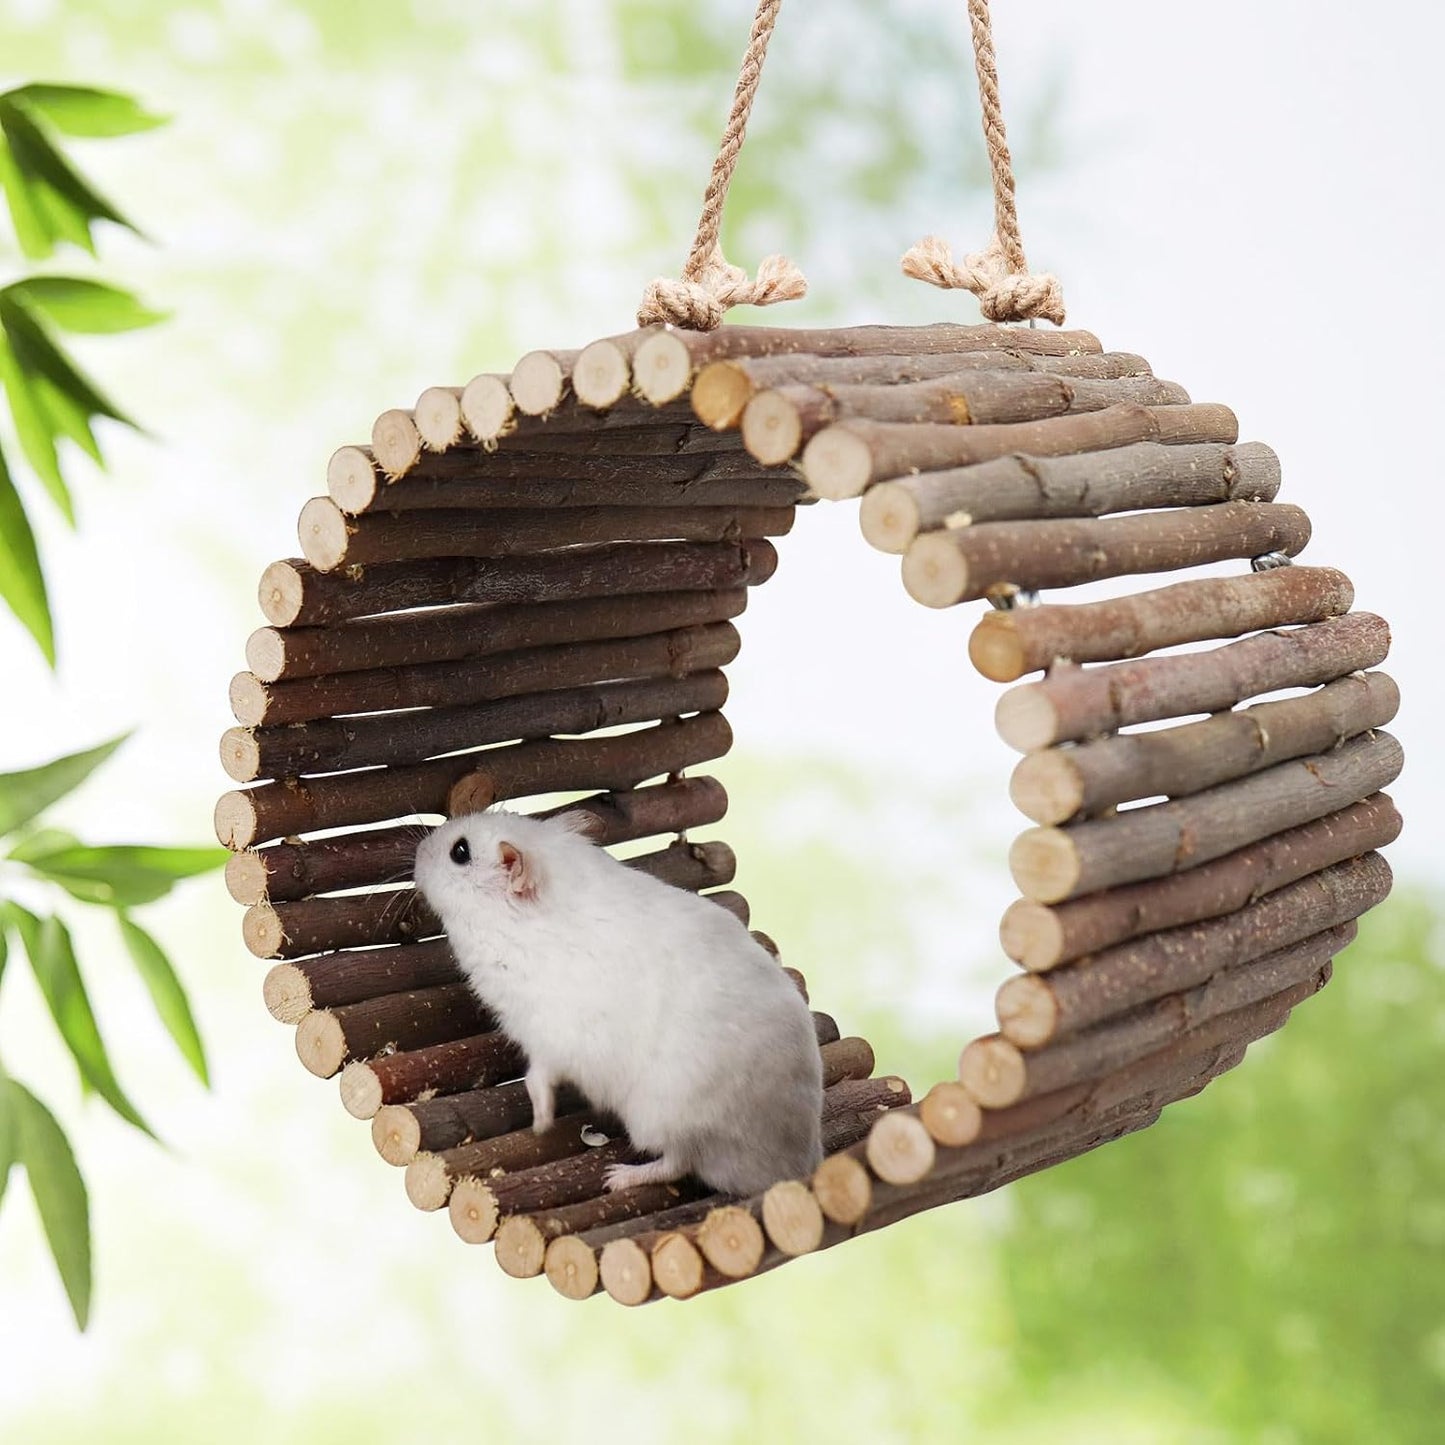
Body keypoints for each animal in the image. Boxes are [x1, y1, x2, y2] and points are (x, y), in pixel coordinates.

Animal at [413, 810, 824, 1197]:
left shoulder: (552, 1037)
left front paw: (540, 1125)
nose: (417, 850)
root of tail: (796, 1165)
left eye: (460, 852)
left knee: (677, 1162)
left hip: (663, 1114)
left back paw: (618, 1177)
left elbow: (537, 1078)